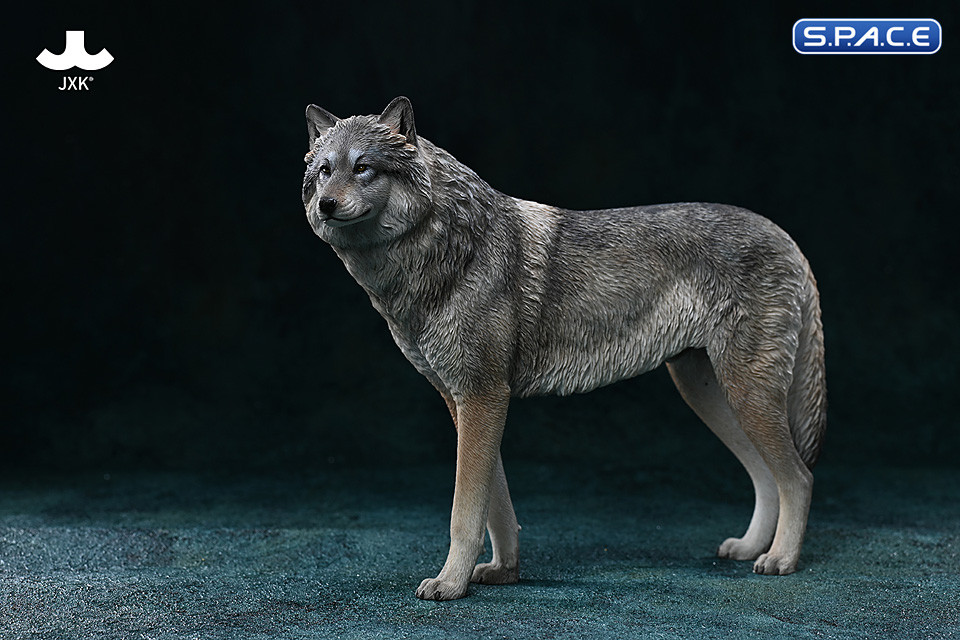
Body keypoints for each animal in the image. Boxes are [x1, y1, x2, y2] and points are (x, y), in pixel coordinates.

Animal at [301, 97, 826, 601]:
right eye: (325, 170)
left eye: (363, 167)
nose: (325, 205)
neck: (445, 251)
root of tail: (787, 238)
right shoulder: (463, 402)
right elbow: (496, 508)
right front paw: (502, 573)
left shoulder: (483, 398)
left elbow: (464, 512)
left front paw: (450, 585)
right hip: (711, 396)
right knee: (767, 477)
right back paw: (751, 548)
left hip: (743, 395)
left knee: (798, 477)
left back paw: (780, 559)